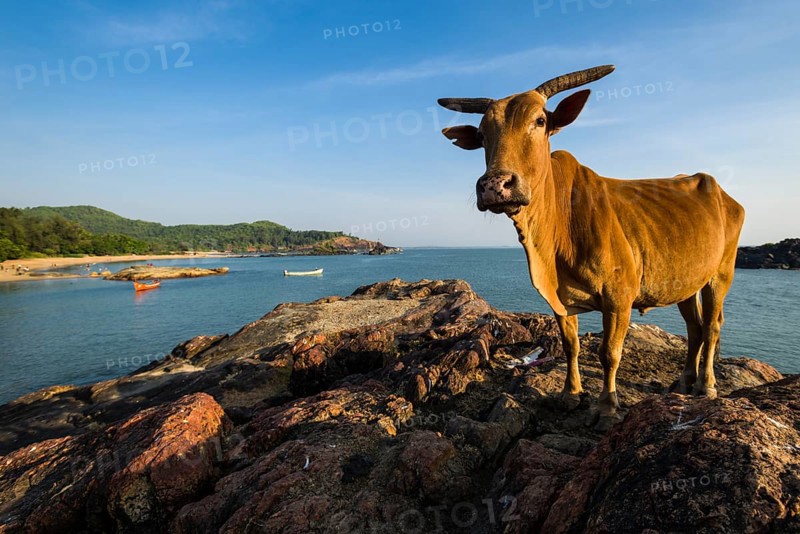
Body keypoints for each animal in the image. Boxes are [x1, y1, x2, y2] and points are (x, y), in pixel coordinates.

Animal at [438, 65, 745, 430]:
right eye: (483, 134)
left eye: (540, 121)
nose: (495, 185)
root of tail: (721, 191)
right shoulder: (558, 298)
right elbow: (570, 345)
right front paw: (570, 394)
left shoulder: (619, 296)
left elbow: (609, 353)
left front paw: (607, 407)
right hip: (685, 281)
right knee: (695, 328)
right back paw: (684, 381)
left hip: (721, 273)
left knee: (712, 326)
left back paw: (706, 385)